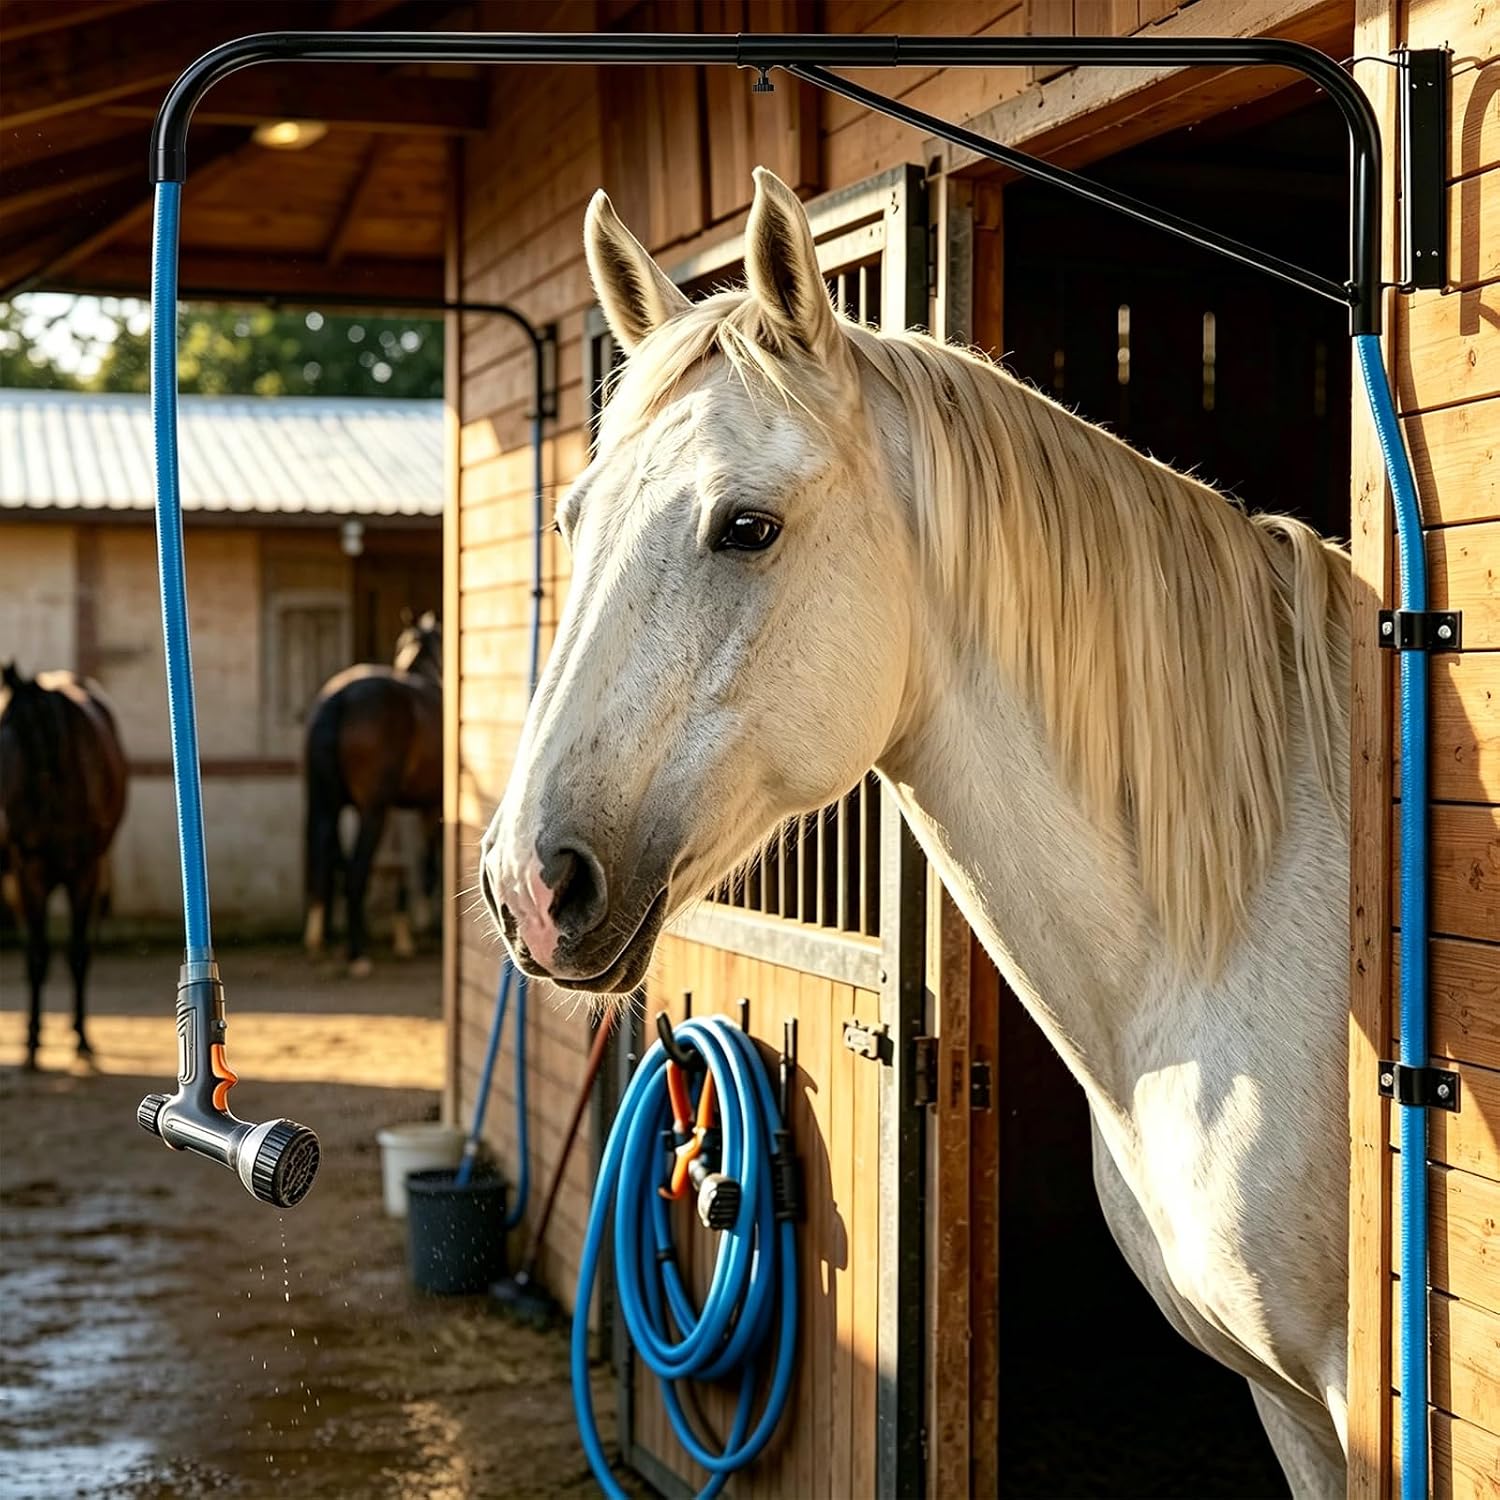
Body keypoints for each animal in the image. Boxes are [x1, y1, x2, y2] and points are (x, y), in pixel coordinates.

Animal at [0, 663, 128, 1070]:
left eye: (19, 732)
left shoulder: (84, 874)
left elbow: (77, 954)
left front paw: (82, 1038)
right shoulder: (29, 874)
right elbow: (37, 956)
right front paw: (31, 1039)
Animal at [303, 611, 442, 976]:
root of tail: (339, 699)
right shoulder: (430, 806)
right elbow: (427, 864)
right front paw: (423, 929)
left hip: (327, 806)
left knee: (325, 862)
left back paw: (319, 942)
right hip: (372, 811)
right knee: (355, 871)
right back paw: (358, 953)